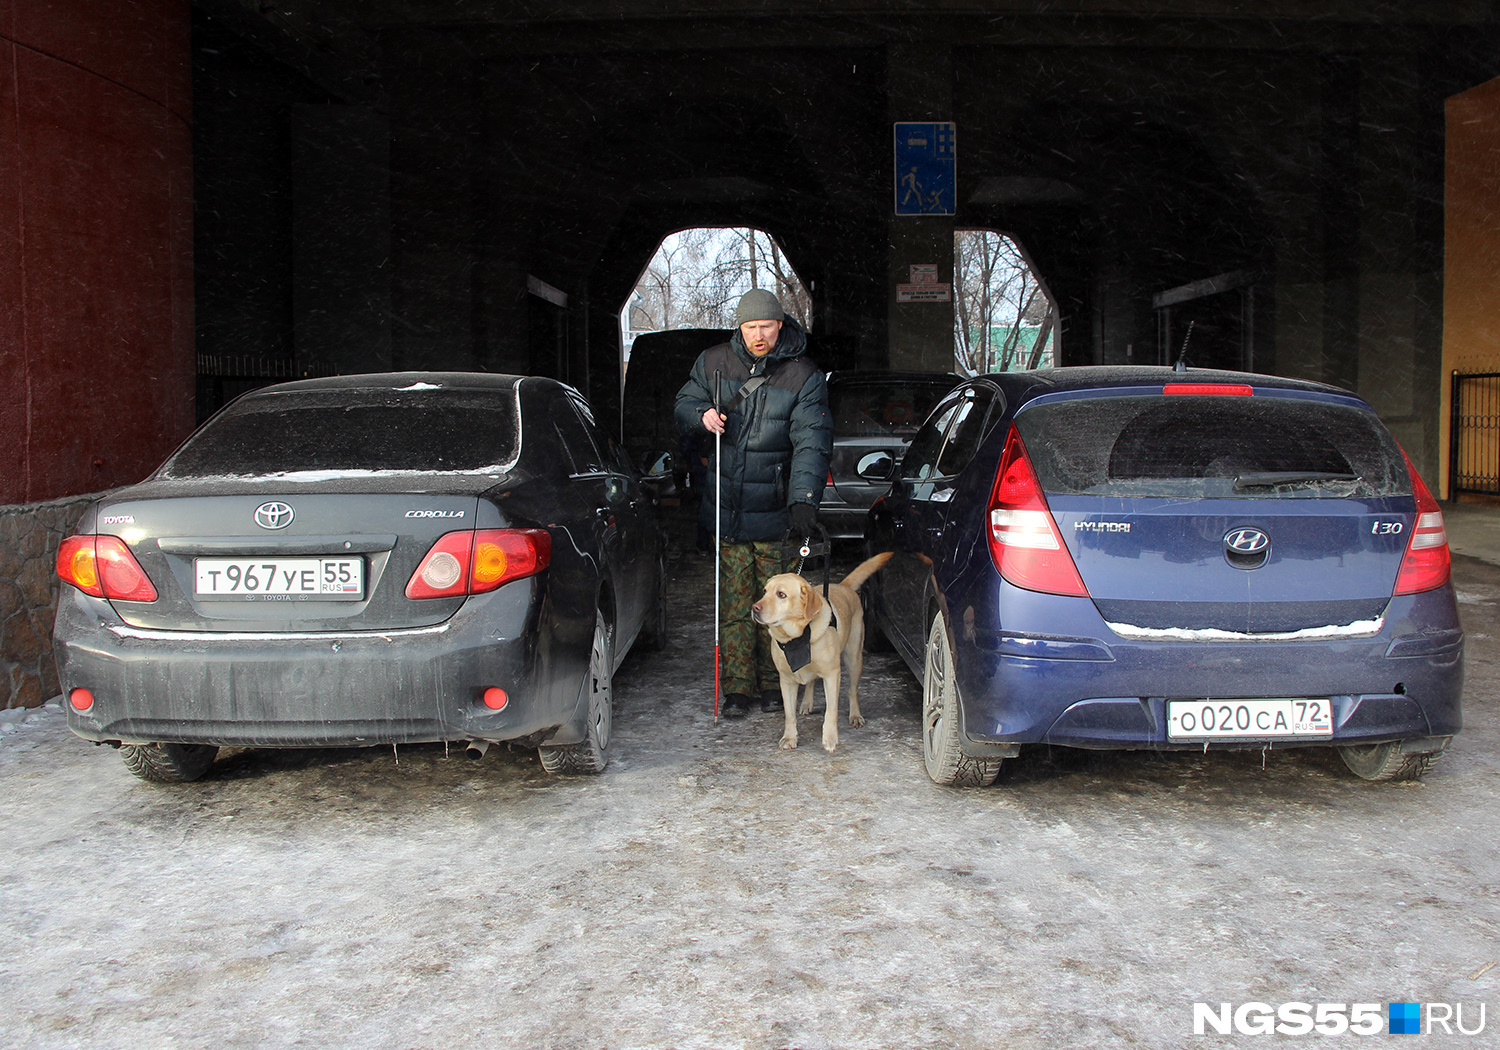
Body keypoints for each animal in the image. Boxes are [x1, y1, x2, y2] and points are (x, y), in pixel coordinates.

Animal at [750, 549, 888, 756]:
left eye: (781, 594)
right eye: (765, 592)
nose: (754, 608)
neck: (797, 638)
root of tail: (843, 586)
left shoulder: (832, 675)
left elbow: (831, 711)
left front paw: (830, 739)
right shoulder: (786, 680)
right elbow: (789, 714)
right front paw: (790, 738)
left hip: (854, 658)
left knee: (852, 689)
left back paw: (855, 715)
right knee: (810, 682)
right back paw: (807, 703)